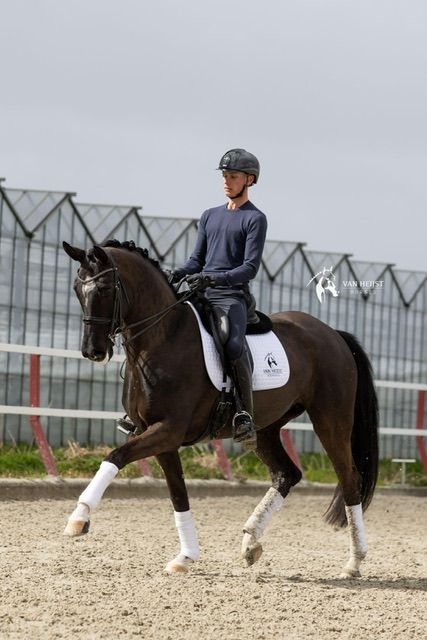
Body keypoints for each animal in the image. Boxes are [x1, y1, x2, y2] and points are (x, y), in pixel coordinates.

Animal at [62, 239, 378, 578]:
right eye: (77, 289)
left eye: (105, 288)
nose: (92, 351)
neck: (163, 338)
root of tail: (332, 334)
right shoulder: (161, 437)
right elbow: (178, 494)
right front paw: (186, 556)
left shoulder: (168, 431)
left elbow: (115, 457)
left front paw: (79, 518)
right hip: (266, 429)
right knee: (286, 474)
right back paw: (250, 542)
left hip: (331, 420)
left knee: (350, 479)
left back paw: (354, 561)